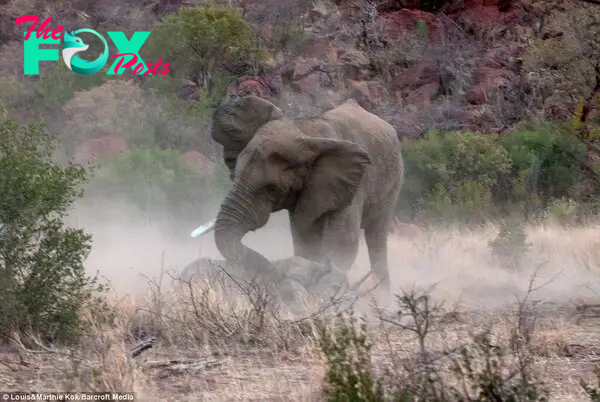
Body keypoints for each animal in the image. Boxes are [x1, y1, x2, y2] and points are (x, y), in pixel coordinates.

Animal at [210, 94, 404, 296]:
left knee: (377, 237)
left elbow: (343, 244)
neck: (305, 133)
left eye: (272, 189)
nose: (273, 270)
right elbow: (305, 240)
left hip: (394, 181)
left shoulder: (353, 184)